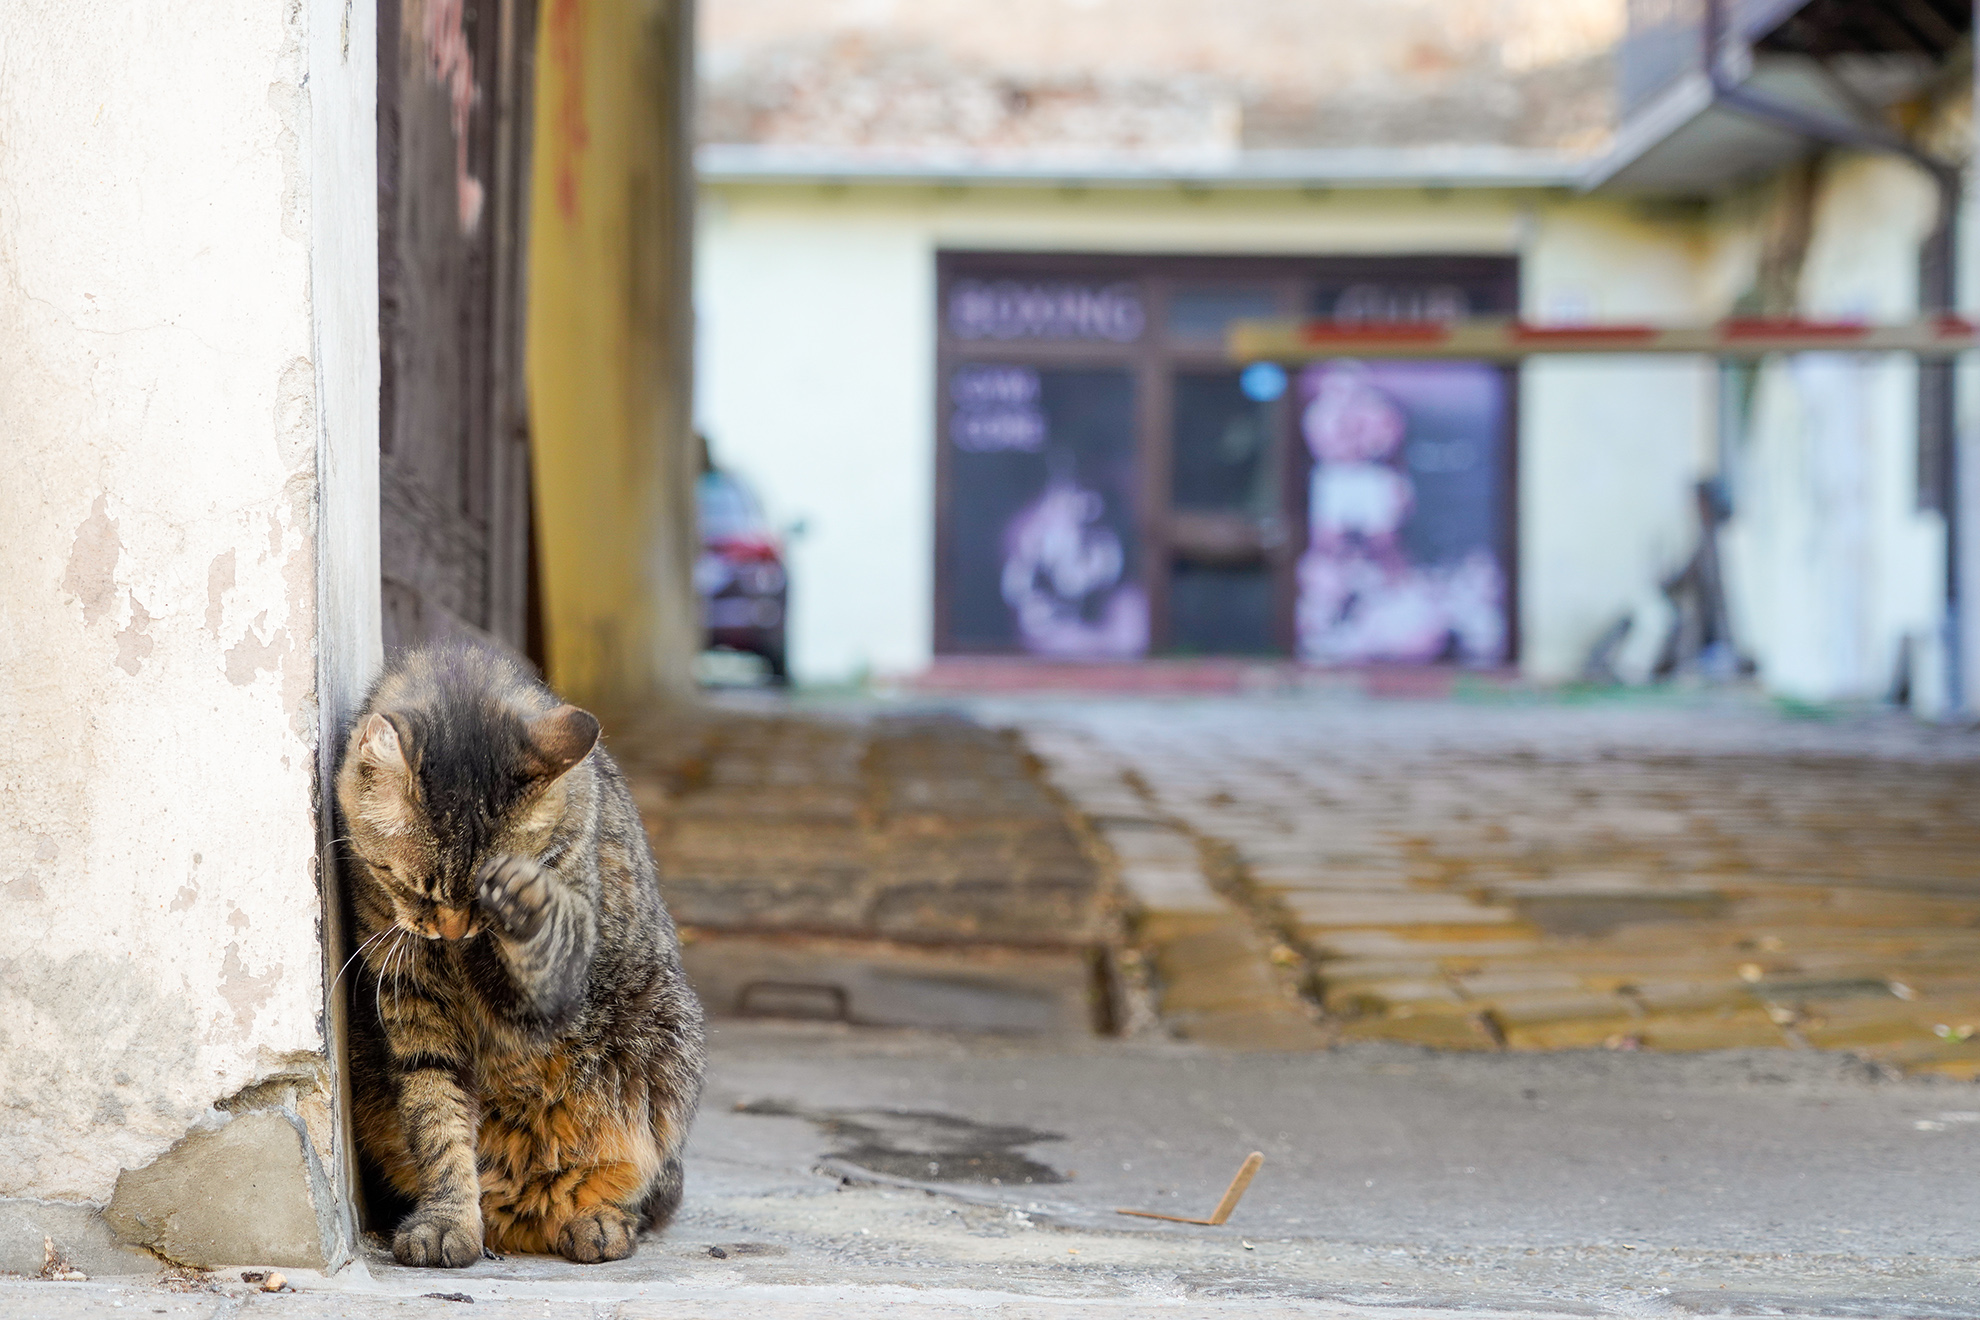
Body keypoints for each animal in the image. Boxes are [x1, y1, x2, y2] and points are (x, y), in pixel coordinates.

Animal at [336, 649, 708, 1266]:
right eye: (415, 888)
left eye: (479, 901)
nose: (454, 931)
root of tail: (528, 1202)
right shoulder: (413, 1001)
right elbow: (437, 1120)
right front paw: (448, 1221)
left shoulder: (553, 990)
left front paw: (525, 899)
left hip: (666, 1046)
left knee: (642, 1185)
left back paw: (598, 1219)